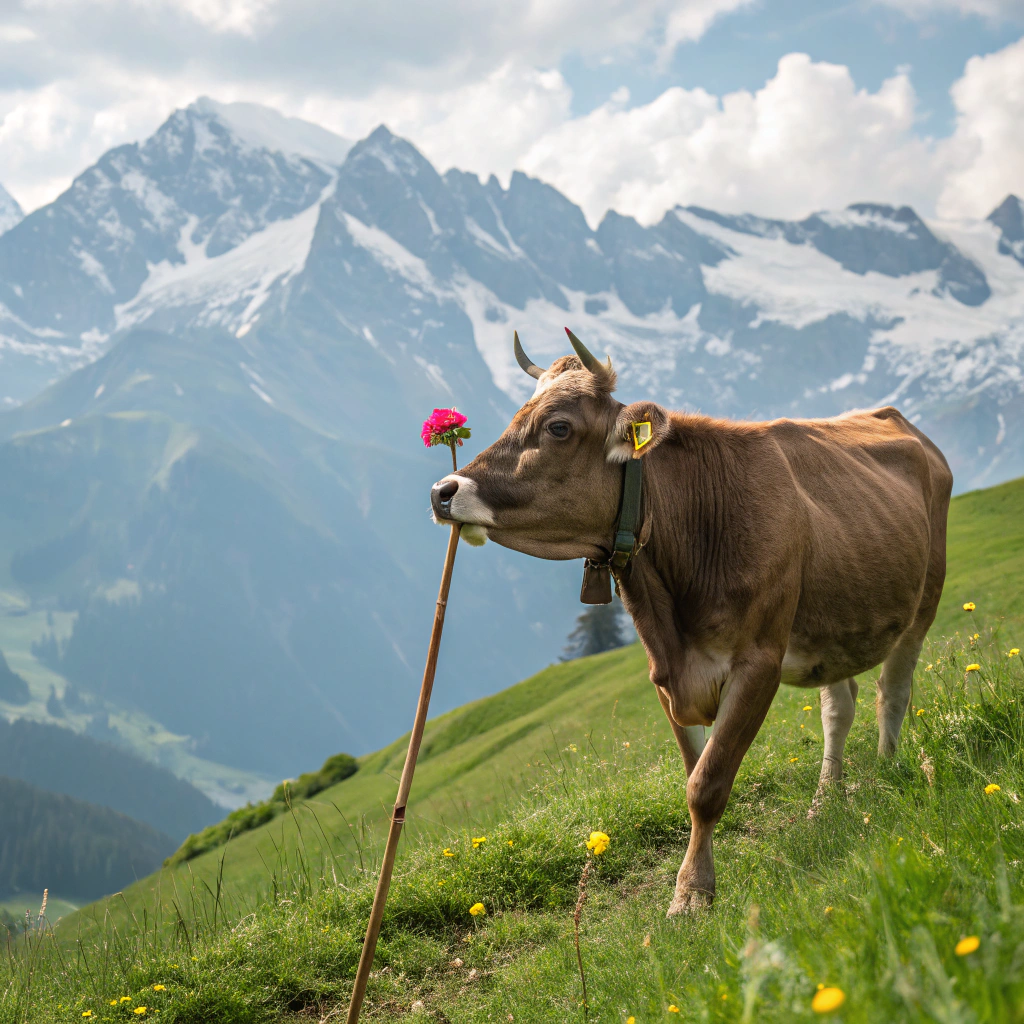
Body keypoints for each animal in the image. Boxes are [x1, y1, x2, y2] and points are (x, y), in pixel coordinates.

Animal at [430, 330, 952, 916]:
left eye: (558, 427)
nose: (443, 491)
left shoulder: (758, 665)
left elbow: (707, 785)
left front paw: (690, 895)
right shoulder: (667, 676)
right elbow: (692, 772)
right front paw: (698, 880)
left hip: (923, 601)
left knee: (893, 689)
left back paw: (885, 771)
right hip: (833, 623)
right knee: (839, 706)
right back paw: (825, 803)